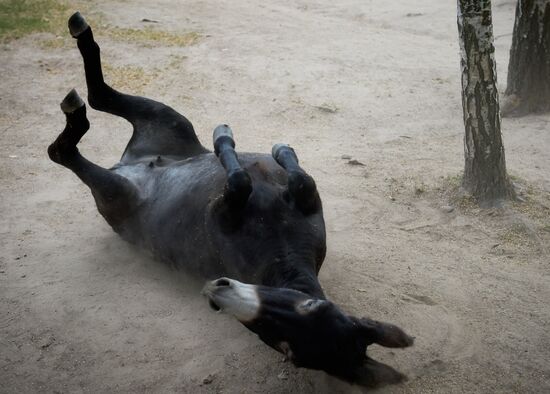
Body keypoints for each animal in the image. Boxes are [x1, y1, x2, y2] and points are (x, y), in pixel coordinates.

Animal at [48, 13, 414, 388]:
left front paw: (232, 143)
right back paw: (80, 35)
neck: (281, 246)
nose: (217, 291)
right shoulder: (304, 196)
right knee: (99, 98)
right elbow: (291, 174)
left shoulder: (224, 209)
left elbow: (240, 180)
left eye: (283, 347)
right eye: (312, 307)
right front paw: (263, 145)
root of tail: (130, 164)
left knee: (65, 147)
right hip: (168, 120)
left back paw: (74, 112)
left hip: (116, 191)